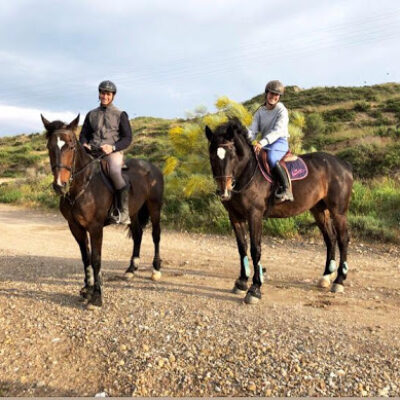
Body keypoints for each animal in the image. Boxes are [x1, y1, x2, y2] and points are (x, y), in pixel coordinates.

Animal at [41, 114, 164, 308]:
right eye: (49, 147)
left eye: (71, 146)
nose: (60, 185)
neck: (83, 186)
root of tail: (152, 167)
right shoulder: (75, 227)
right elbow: (86, 257)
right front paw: (87, 289)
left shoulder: (95, 228)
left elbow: (96, 259)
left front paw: (96, 297)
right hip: (134, 212)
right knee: (138, 235)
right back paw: (131, 270)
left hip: (154, 207)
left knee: (156, 236)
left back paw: (156, 270)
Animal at [206, 118, 354, 304]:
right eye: (212, 155)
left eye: (232, 155)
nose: (223, 191)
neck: (247, 173)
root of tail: (343, 165)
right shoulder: (235, 216)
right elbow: (242, 248)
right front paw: (241, 282)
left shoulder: (255, 215)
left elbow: (255, 249)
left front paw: (254, 289)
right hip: (319, 210)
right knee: (330, 238)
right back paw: (326, 276)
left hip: (338, 211)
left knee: (342, 239)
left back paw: (339, 281)